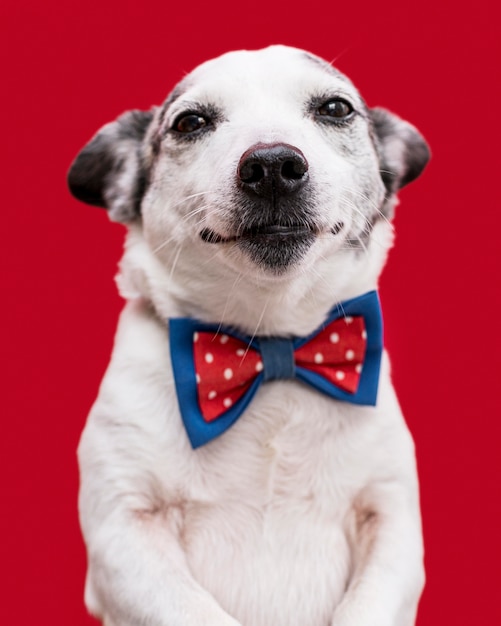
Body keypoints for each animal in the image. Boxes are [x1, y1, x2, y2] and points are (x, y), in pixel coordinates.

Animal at [68, 44, 430, 624]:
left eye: (335, 108)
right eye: (190, 122)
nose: (273, 165)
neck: (269, 346)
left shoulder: (390, 521)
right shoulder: (124, 533)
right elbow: (192, 610)